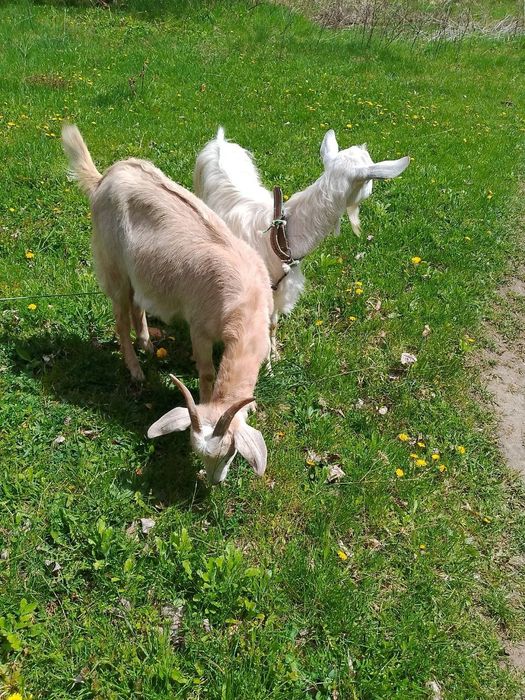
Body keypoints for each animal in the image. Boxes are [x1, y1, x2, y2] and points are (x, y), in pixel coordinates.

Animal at [62, 124, 272, 483]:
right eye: (197, 452)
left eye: (230, 453)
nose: (214, 482)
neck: (246, 302)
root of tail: (104, 178)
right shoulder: (200, 328)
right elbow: (206, 372)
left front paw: (252, 404)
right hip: (113, 265)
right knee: (120, 317)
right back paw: (135, 369)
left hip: (138, 271)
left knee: (137, 305)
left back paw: (147, 343)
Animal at [194, 127, 409, 356]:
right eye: (369, 181)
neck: (283, 234)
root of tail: (220, 141)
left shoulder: (279, 289)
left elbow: (272, 323)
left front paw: (274, 355)